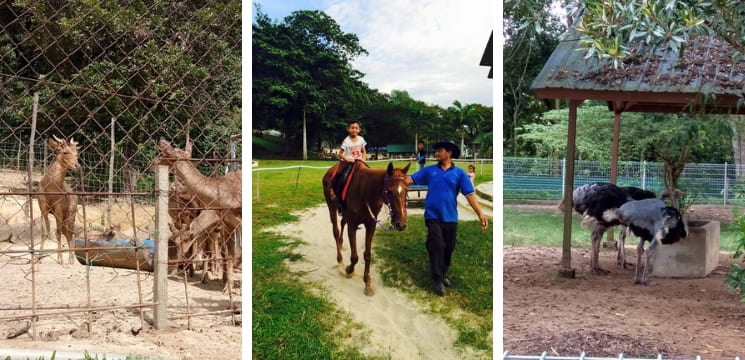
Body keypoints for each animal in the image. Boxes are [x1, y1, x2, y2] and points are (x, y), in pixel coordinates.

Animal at [37, 135, 80, 264]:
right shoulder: (42, 207)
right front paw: (39, 258)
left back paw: (71, 260)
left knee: (71, 233)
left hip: (71, 214)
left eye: (77, 153)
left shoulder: (58, 208)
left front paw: (59, 258)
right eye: (64, 151)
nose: (77, 166)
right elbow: (44, 232)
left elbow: (57, 233)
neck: (50, 189)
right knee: (68, 233)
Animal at [155, 138, 240, 292]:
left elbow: (220, 252)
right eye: (172, 242)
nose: (152, 162)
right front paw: (224, 286)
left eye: (163, 154)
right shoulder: (225, 226)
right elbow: (221, 253)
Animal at [322, 161, 412, 296]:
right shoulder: (352, 225)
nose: (400, 224)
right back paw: (340, 260)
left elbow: (368, 255)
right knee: (335, 231)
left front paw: (367, 283)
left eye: (407, 189)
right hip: (331, 206)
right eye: (389, 191)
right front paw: (349, 270)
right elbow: (355, 257)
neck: (365, 190)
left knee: (342, 223)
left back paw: (342, 244)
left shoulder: (371, 225)